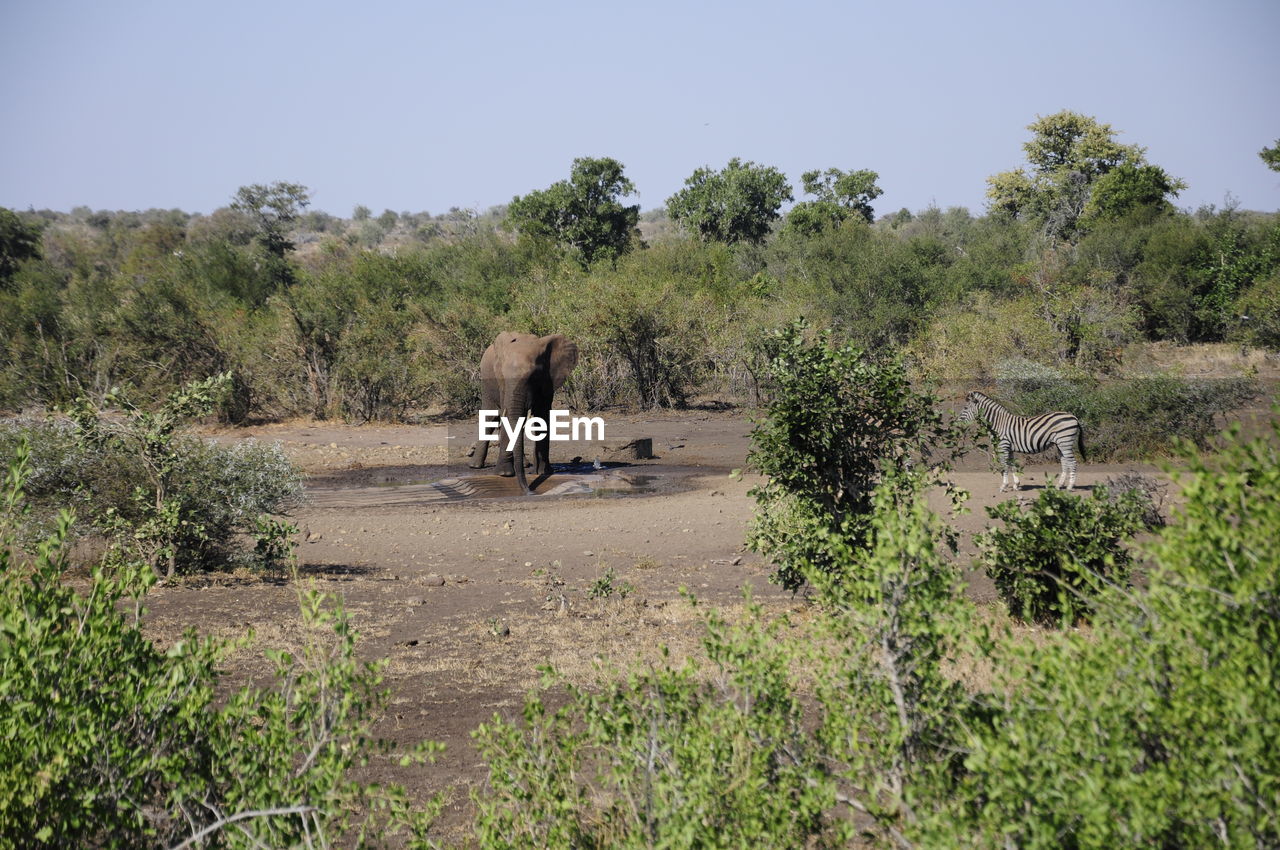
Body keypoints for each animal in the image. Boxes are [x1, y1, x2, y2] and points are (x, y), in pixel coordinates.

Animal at [468, 330, 578, 494]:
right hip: (486, 382)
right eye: (502, 375)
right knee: (490, 416)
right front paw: (504, 474)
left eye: (534, 376)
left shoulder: (548, 379)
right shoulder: (501, 383)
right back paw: (475, 465)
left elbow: (542, 414)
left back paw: (525, 465)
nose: (529, 491)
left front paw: (543, 472)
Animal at [957, 391, 1085, 491]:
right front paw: (1016, 485)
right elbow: (1012, 464)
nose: (957, 422)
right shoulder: (1009, 448)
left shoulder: (1003, 445)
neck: (998, 423)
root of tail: (1074, 417)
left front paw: (1004, 486)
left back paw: (1070, 486)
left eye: (965, 408)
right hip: (1060, 444)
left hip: (1065, 442)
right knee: (1065, 463)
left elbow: (1004, 465)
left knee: (1073, 462)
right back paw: (1059, 485)